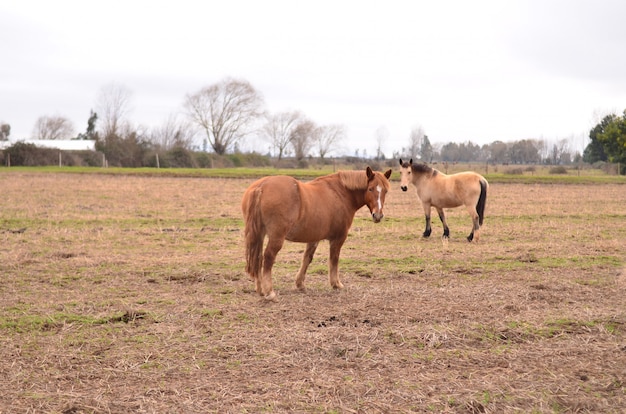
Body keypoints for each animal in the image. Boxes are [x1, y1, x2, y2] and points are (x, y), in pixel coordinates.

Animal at [240, 166, 390, 300]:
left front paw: (300, 284)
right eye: (370, 189)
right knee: (268, 257)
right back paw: (269, 291)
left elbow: (307, 258)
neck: (340, 193)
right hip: (276, 237)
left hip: (259, 234)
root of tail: (261, 186)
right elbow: (334, 259)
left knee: (258, 257)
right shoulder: (338, 238)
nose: (378, 215)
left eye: (385, 191)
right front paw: (336, 284)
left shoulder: (314, 238)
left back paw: (260, 289)